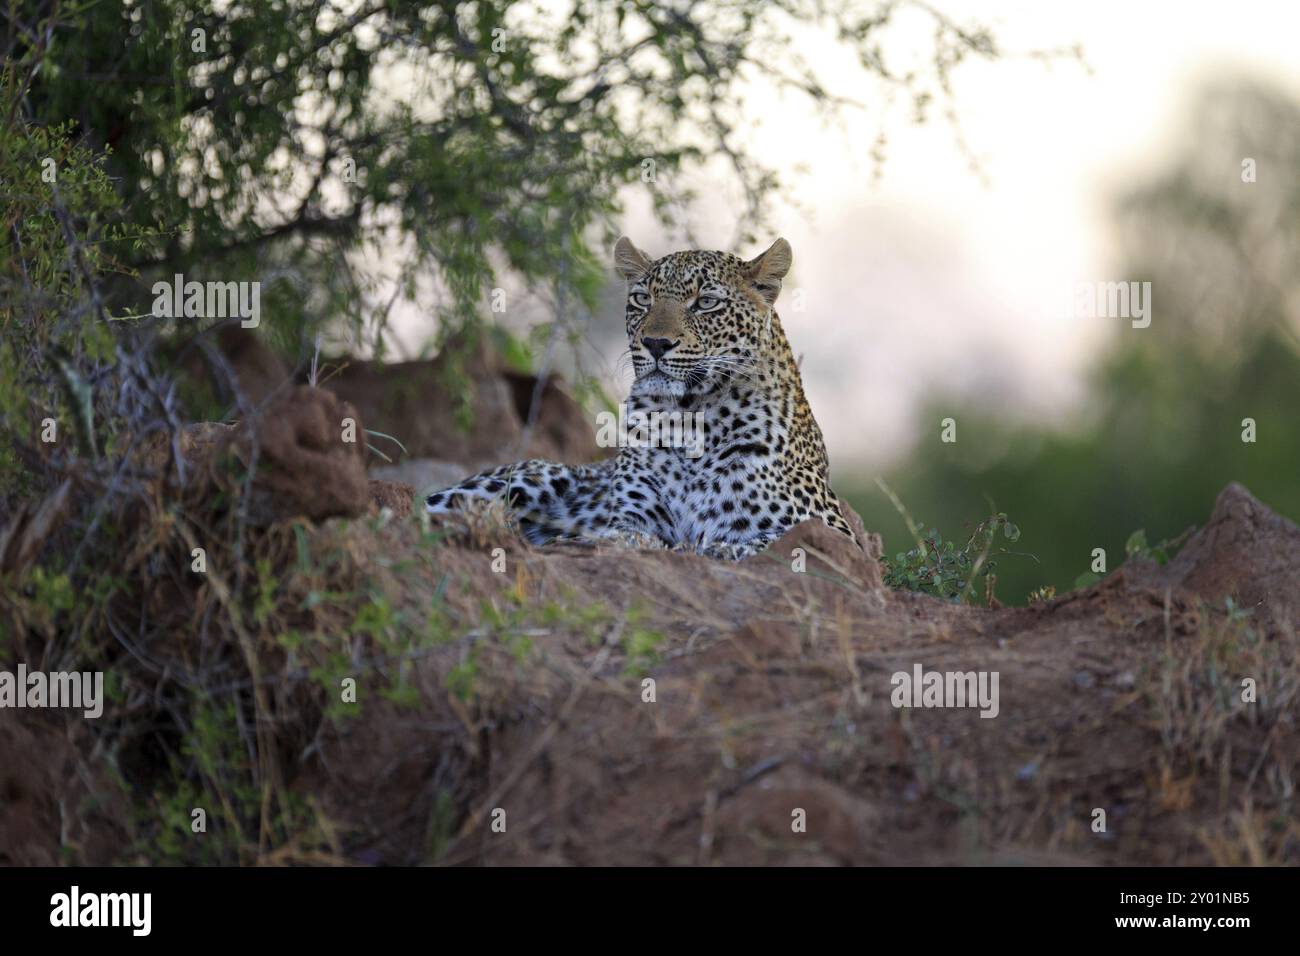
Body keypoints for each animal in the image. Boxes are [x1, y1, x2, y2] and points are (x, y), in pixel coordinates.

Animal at [421, 236, 857, 561]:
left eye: (706, 302)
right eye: (643, 299)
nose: (656, 343)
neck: (691, 418)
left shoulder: (828, 527)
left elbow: (748, 543)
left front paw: (715, 547)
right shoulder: (636, 517)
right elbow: (633, 536)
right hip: (534, 475)